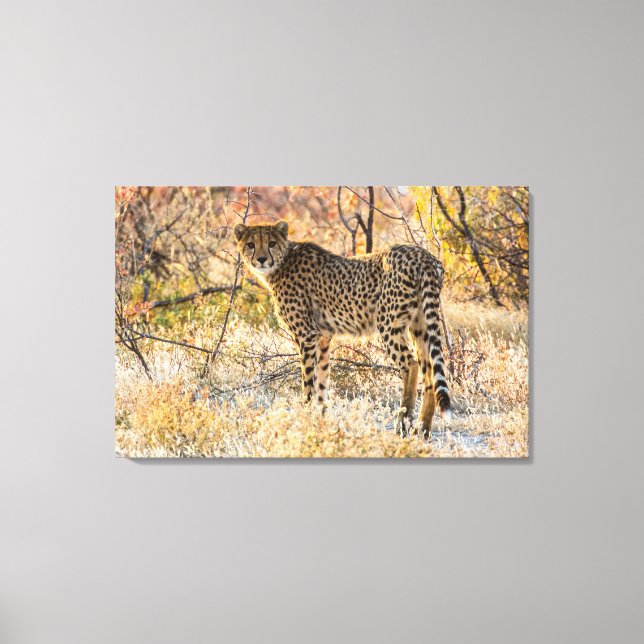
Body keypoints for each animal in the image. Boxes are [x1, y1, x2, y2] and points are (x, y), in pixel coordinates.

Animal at [234, 220, 451, 437]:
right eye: (251, 244)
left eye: (271, 243)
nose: (262, 259)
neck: (282, 261)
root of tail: (422, 255)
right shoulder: (323, 338)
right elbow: (322, 382)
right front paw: (320, 420)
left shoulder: (306, 336)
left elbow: (308, 383)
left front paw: (305, 417)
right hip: (420, 325)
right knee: (430, 372)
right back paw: (422, 429)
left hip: (388, 323)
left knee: (411, 365)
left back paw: (403, 423)